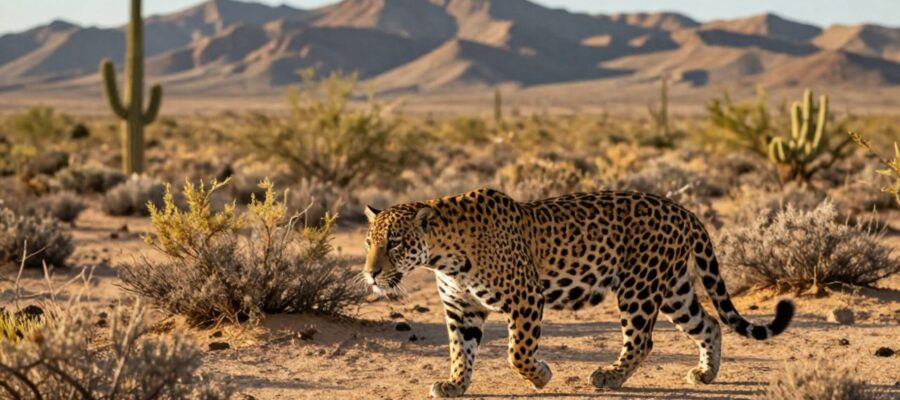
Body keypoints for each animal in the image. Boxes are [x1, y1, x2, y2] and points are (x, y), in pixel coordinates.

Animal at [362, 188, 794, 398]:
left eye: (395, 244)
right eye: (369, 242)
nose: (370, 273)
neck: (442, 254)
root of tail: (683, 210)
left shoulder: (526, 297)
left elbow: (517, 353)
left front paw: (541, 376)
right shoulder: (460, 308)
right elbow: (460, 350)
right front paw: (454, 384)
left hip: (639, 286)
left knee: (642, 340)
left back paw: (609, 377)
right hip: (673, 289)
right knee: (708, 324)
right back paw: (705, 373)